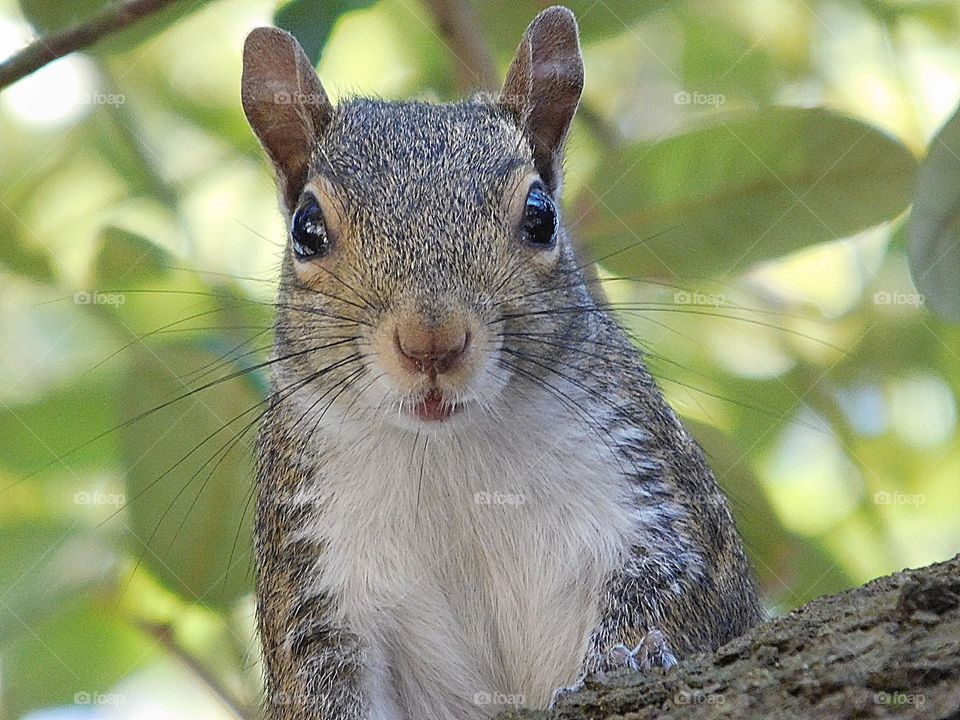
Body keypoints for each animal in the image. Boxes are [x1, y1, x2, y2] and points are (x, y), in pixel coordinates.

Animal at [242, 7, 764, 720]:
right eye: (307, 228)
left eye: (541, 216)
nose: (430, 342)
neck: (451, 452)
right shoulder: (312, 575)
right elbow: (319, 684)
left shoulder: (652, 488)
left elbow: (680, 586)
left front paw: (629, 656)